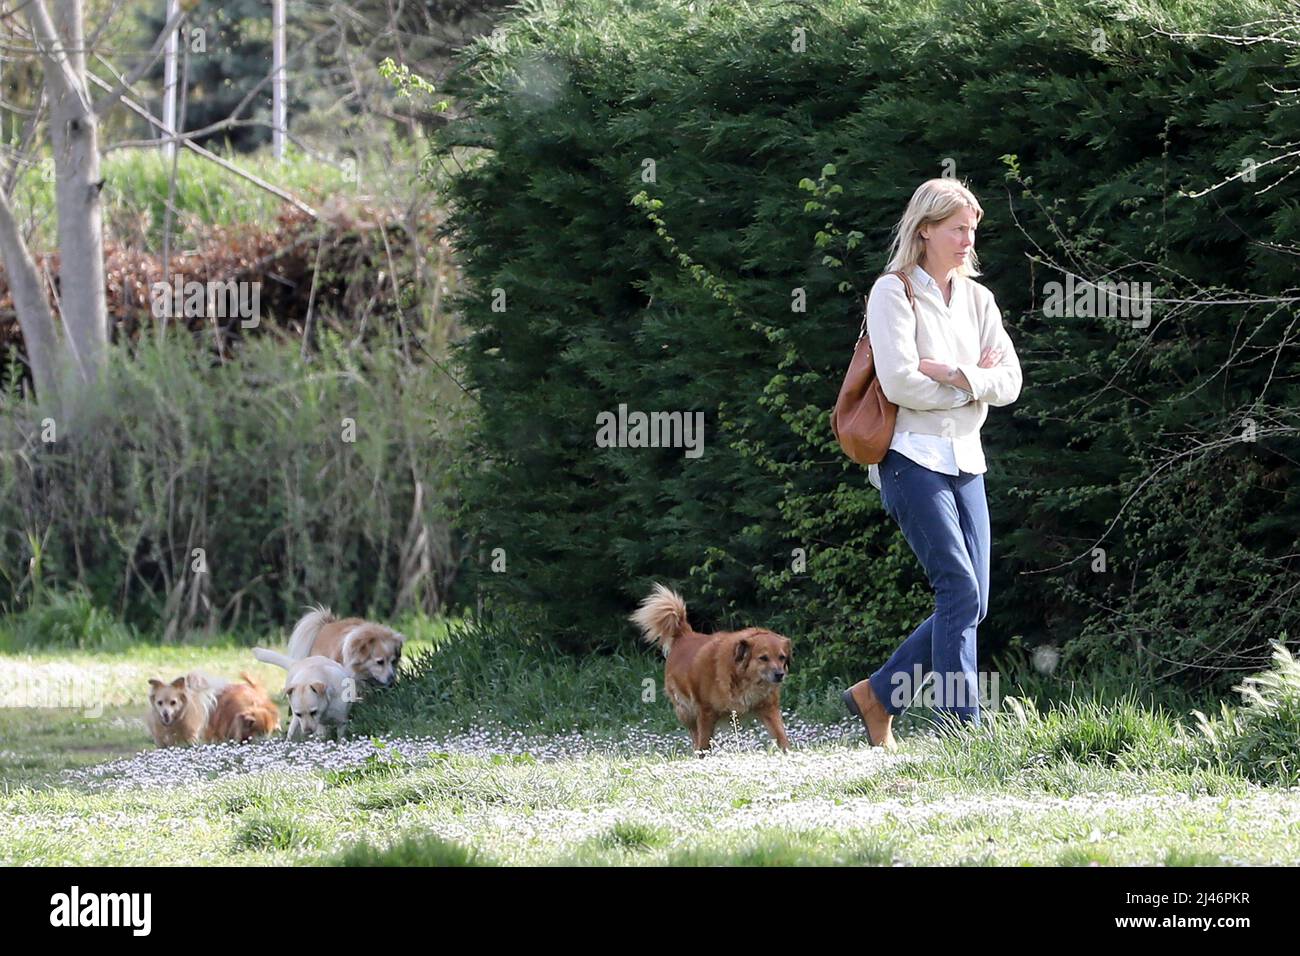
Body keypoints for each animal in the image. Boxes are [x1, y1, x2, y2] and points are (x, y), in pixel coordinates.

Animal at [629, 580, 790, 759]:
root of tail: (684, 634)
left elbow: (781, 737)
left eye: (782, 657)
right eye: (763, 658)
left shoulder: (769, 709)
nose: (780, 675)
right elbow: (704, 744)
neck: (743, 680)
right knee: (695, 735)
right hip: (686, 712)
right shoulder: (706, 712)